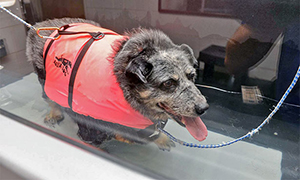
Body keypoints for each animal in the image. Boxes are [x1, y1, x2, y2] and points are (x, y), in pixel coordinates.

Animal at [26, 17, 209, 150]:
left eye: (192, 76)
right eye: (169, 83)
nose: (204, 108)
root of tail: (40, 27)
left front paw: (162, 138)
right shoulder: (90, 132)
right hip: (45, 79)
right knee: (50, 98)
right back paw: (54, 113)